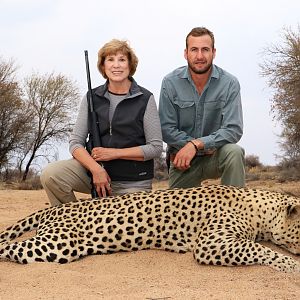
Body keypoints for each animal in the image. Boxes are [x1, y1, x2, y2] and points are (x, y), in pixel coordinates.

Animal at [0, 184, 300, 274]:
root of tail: (56, 208)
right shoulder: (211, 243)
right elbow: (260, 249)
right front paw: (293, 266)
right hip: (59, 245)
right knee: (8, 247)